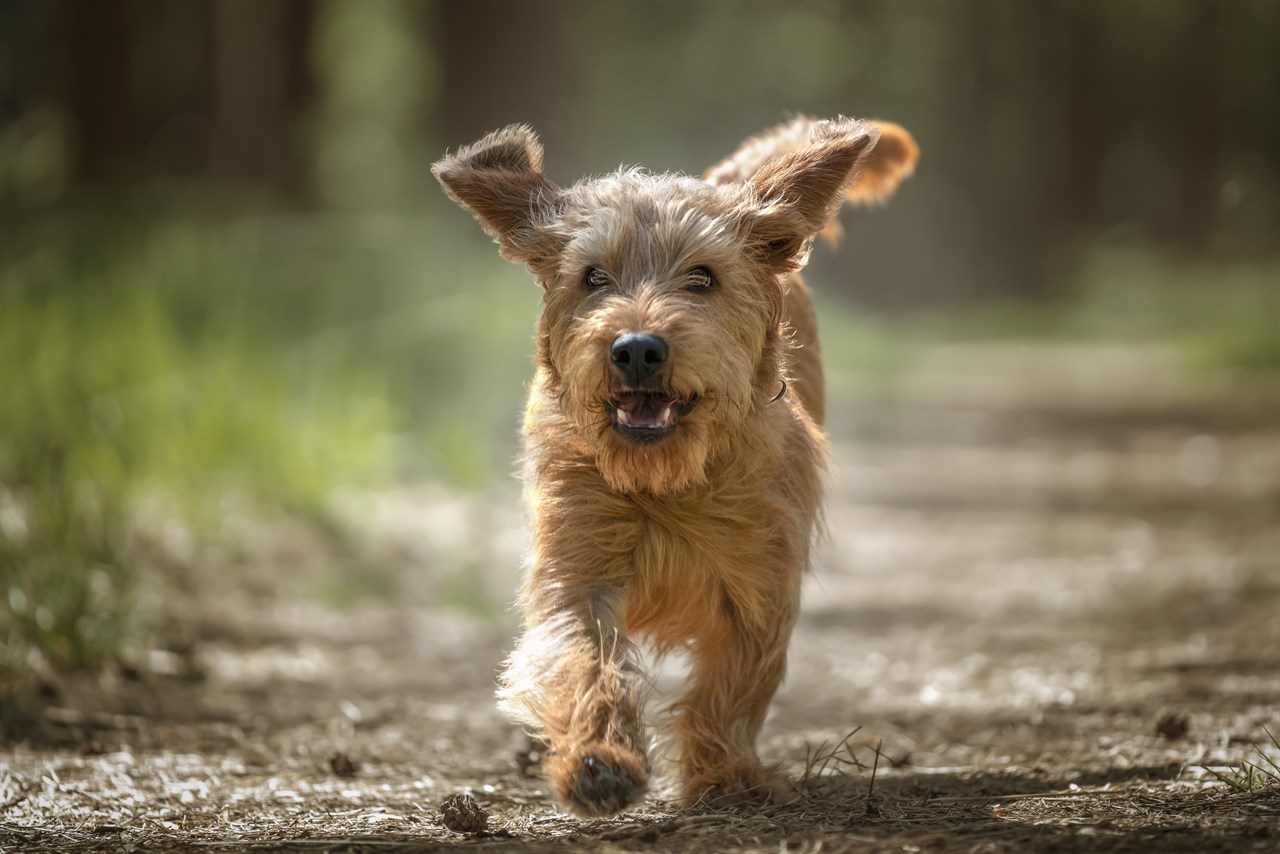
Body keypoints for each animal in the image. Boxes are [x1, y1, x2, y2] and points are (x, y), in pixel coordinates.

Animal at [435, 113, 916, 814]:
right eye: (593, 278)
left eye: (703, 277)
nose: (637, 349)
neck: (665, 483)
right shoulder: (578, 571)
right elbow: (582, 660)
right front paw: (598, 761)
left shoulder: (759, 584)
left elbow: (733, 684)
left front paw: (723, 775)